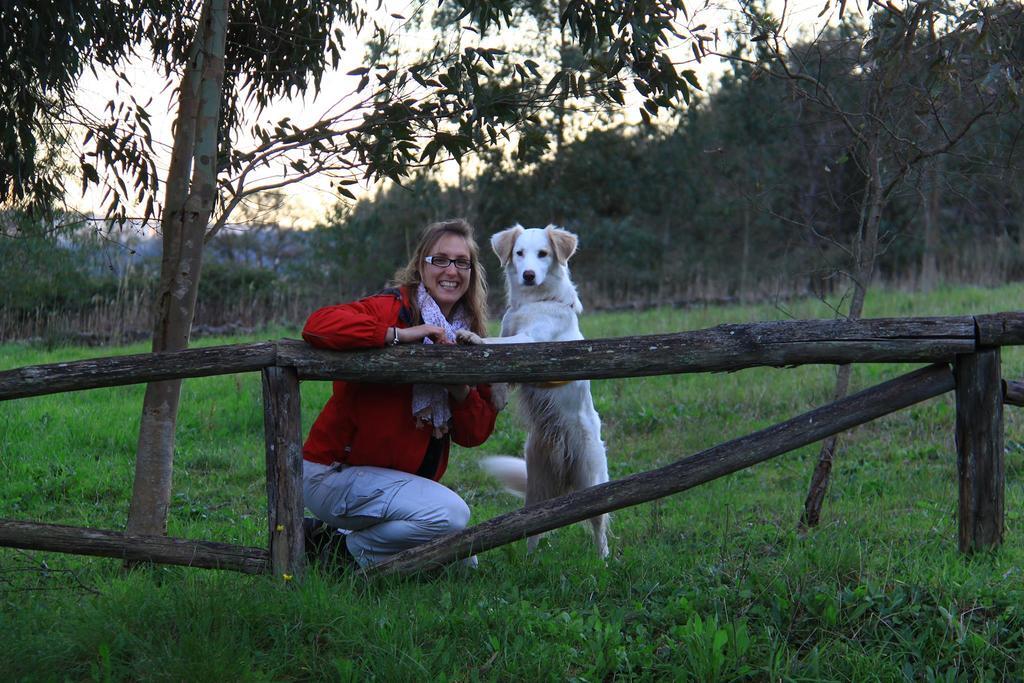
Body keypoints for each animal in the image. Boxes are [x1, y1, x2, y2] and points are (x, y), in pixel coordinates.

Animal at [458, 227, 606, 557]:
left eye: (543, 254)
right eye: (519, 253)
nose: (528, 275)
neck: (533, 302)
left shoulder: (531, 341)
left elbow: (497, 345)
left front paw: (473, 337)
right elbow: (501, 370)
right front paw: (498, 396)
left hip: (591, 478)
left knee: (599, 521)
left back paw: (605, 559)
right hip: (536, 484)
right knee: (533, 525)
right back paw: (530, 559)